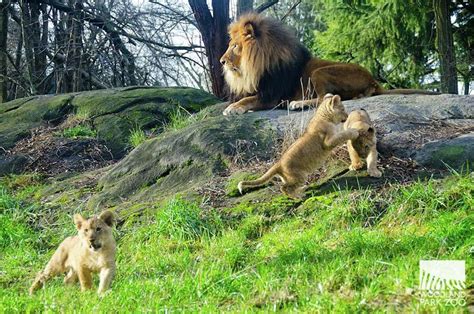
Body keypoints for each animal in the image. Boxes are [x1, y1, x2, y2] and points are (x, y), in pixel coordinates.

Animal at [220, 12, 438, 115]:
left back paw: (298, 104)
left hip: (320, 72)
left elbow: (249, 99)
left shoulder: (274, 97)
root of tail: (373, 80)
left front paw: (233, 108)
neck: (256, 66)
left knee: (327, 97)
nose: (221, 61)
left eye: (235, 46)